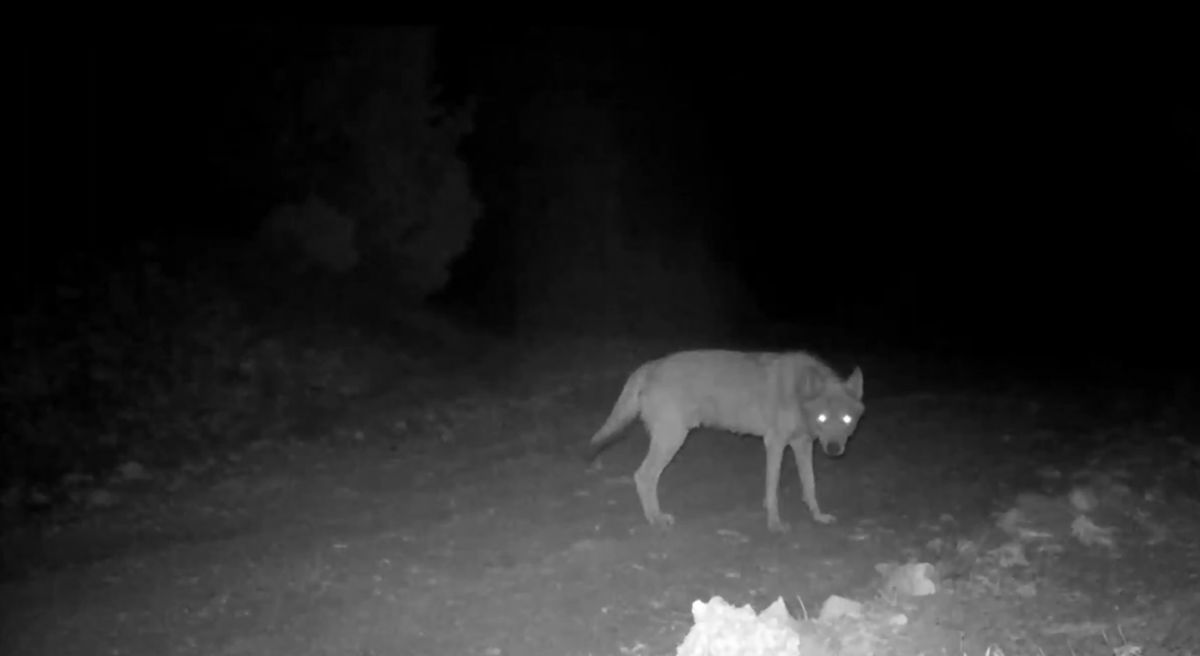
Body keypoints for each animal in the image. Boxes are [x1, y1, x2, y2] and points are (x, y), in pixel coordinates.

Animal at [588, 350, 864, 534]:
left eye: (847, 419)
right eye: (822, 418)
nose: (834, 449)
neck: (799, 392)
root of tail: (650, 365)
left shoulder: (803, 444)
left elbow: (810, 486)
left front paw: (818, 516)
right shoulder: (774, 443)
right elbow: (772, 489)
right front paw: (775, 524)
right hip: (672, 440)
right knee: (643, 476)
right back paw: (656, 519)